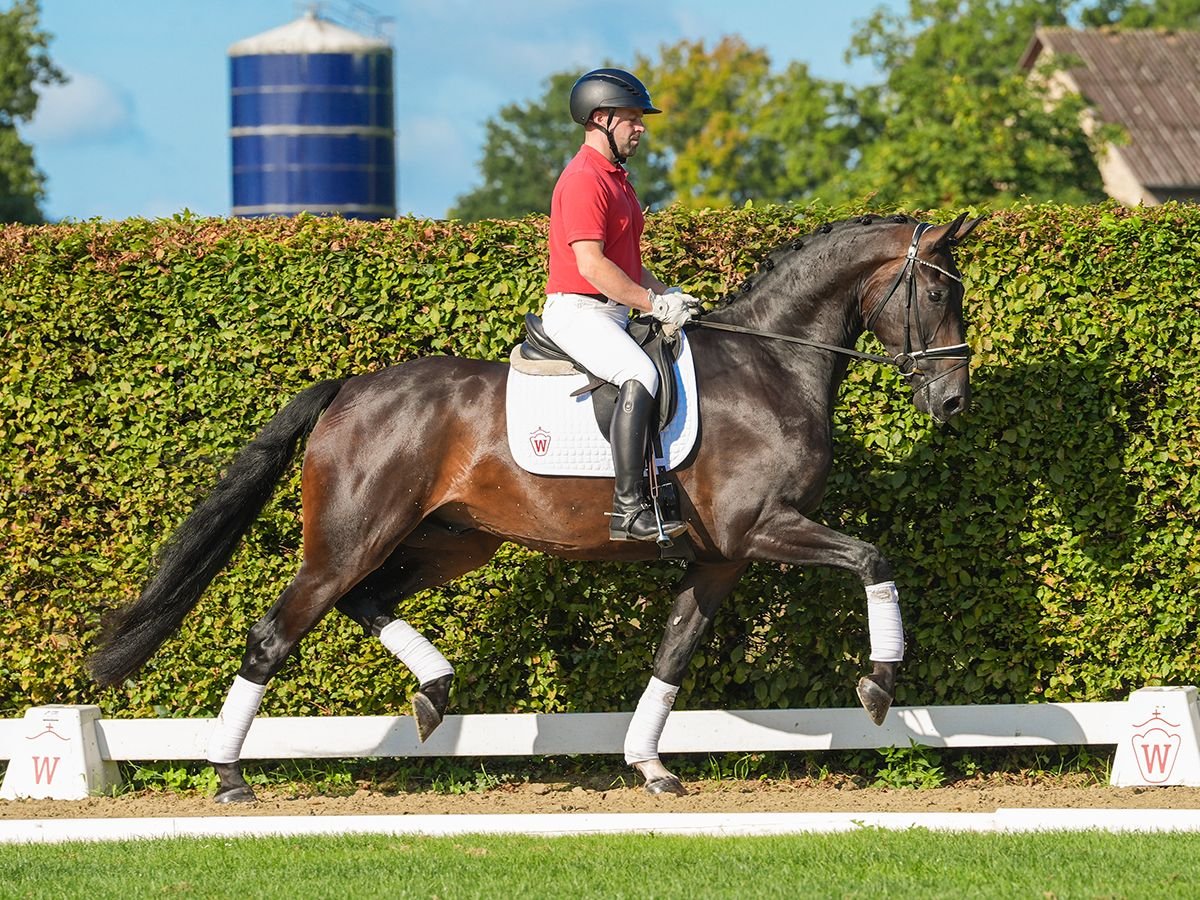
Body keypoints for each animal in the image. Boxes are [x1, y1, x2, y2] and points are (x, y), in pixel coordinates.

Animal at [87, 213, 984, 801]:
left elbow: (673, 655)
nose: (952, 402)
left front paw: (649, 765)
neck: (771, 366)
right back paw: (230, 776)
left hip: (451, 541)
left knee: (367, 601)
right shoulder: (762, 530)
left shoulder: (720, 556)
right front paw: (879, 685)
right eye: (939, 292)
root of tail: (350, 388)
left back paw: (433, 692)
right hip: (349, 539)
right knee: (276, 633)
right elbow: (871, 558)